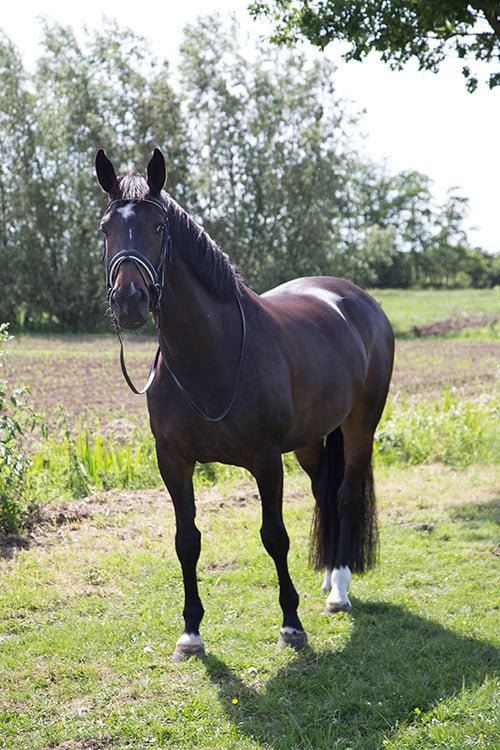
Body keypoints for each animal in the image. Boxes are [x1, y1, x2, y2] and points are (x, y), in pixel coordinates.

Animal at [95, 148, 394, 662]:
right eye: (105, 228)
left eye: (159, 227)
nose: (129, 300)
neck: (209, 355)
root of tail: (359, 301)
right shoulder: (172, 460)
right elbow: (187, 540)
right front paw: (191, 633)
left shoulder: (266, 460)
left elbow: (274, 537)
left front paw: (292, 625)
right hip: (311, 440)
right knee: (323, 493)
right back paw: (326, 579)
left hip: (360, 426)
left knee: (344, 495)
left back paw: (338, 590)